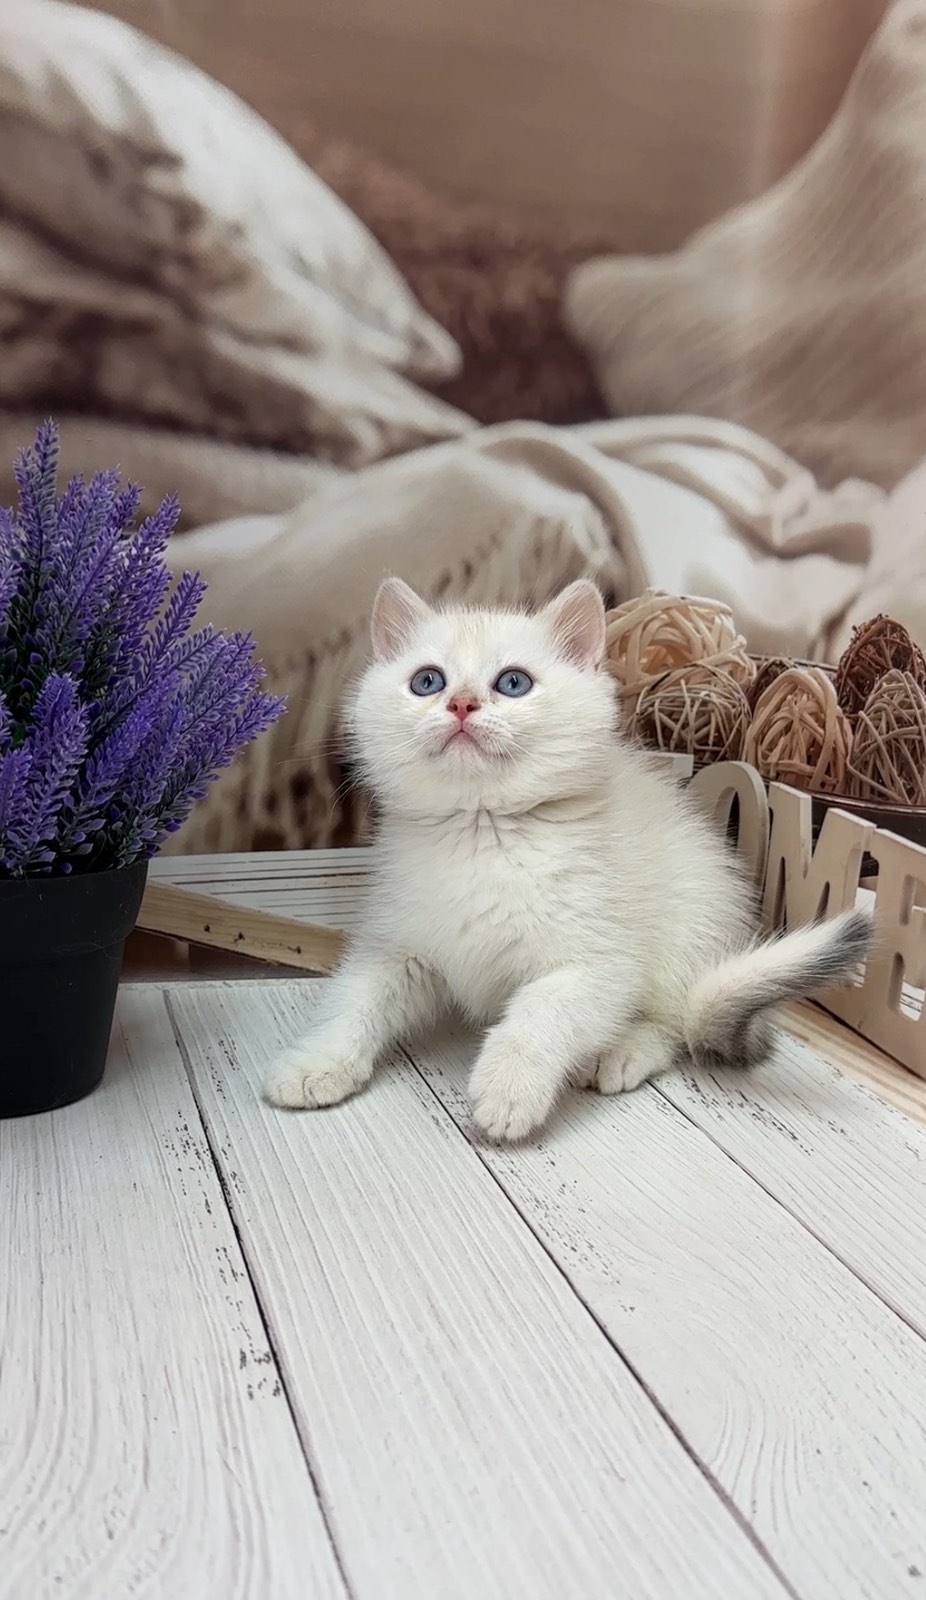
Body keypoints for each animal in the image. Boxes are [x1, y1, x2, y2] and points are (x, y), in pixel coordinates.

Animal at [264, 577, 870, 1141]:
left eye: (513, 683)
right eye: (427, 681)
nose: (462, 704)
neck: (481, 832)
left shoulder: (599, 963)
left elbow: (541, 1010)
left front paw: (507, 1090)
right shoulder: (396, 948)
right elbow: (354, 1001)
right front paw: (316, 1062)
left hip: (688, 925)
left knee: (676, 1020)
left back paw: (621, 1051)